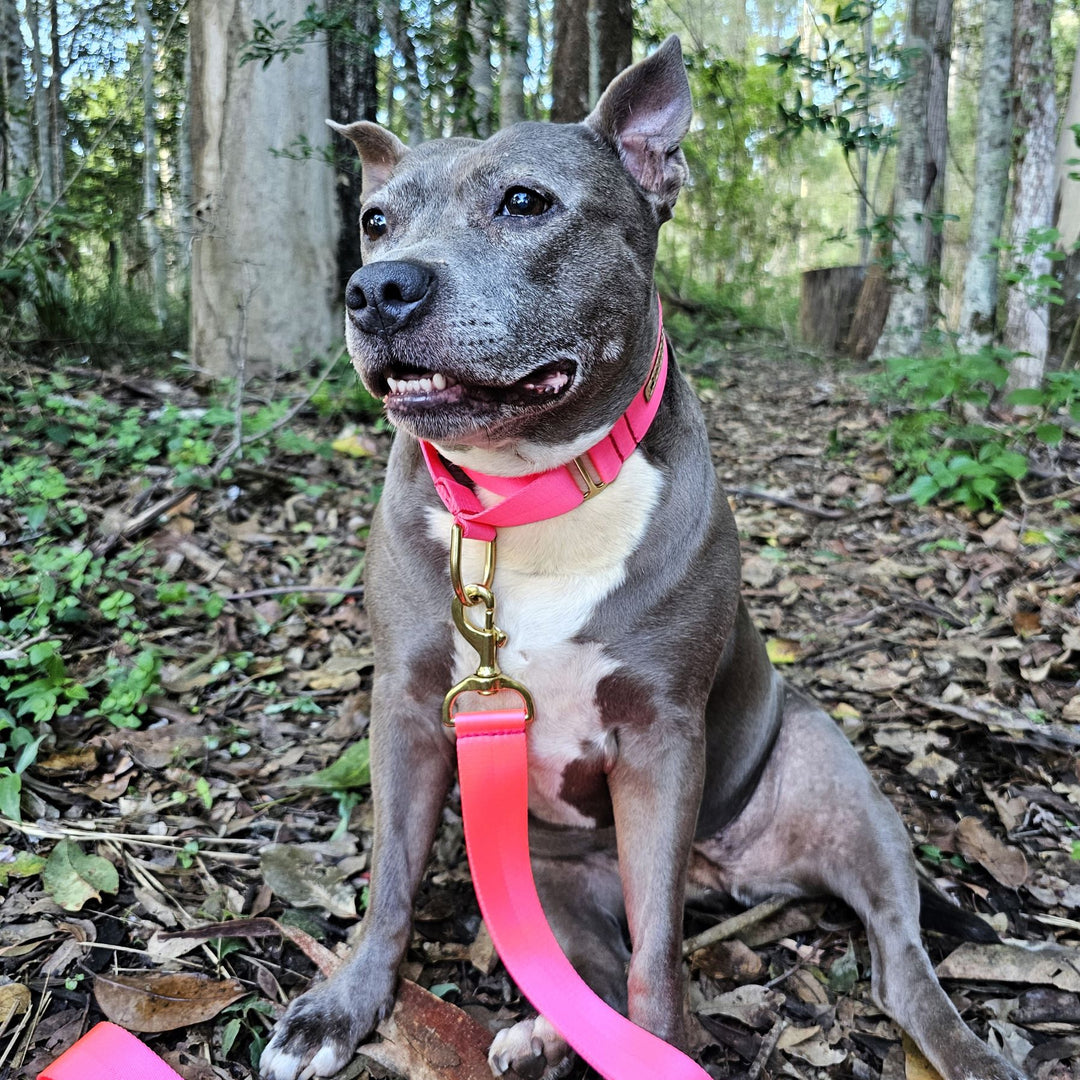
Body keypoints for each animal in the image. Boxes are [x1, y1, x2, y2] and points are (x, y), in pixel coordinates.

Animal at [259, 38, 1019, 1080]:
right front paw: (345, 1005)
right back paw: (545, 1033)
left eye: (526, 202)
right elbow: (391, 884)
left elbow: (658, 957)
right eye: (377, 221)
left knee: (897, 966)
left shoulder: (661, 738)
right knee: (590, 971)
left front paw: (663, 1048)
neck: (526, 496)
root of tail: (723, 878)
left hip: (845, 798)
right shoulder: (409, 708)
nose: (379, 288)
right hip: (550, 877)